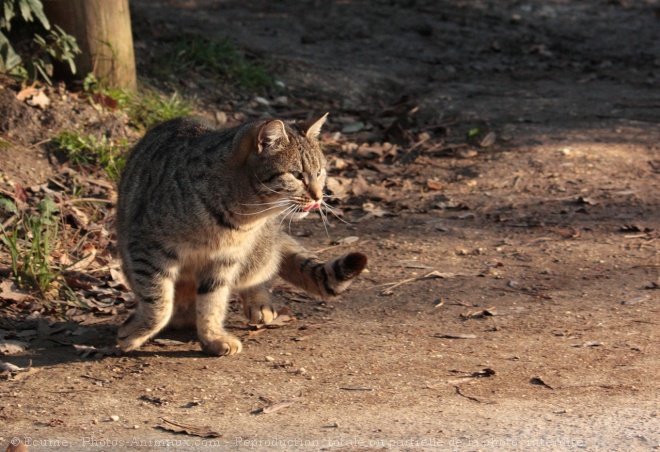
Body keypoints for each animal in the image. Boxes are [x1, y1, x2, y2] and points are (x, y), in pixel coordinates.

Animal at [116, 114, 368, 356]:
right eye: (297, 175)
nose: (319, 197)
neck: (240, 218)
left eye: (319, 172)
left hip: (256, 256)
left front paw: (212, 337)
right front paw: (136, 333)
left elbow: (212, 302)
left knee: (259, 275)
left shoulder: (224, 260)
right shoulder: (149, 248)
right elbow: (158, 302)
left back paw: (258, 303)